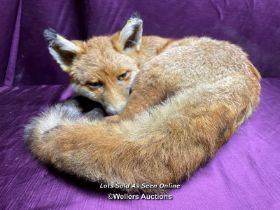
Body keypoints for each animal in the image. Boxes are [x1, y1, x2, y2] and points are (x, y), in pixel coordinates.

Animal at [25, 14, 262, 192]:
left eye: (123, 76)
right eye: (95, 84)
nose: (115, 109)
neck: (142, 54)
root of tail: (244, 81)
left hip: (151, 74)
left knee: (124, 118)